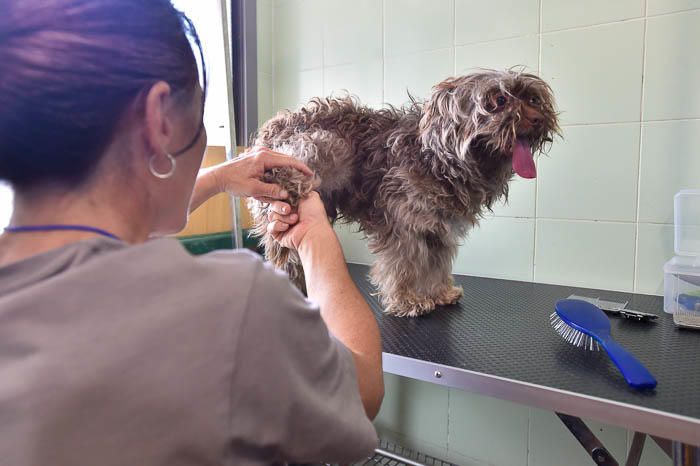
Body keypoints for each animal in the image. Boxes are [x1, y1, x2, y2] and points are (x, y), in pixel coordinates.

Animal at [249, 69, 560, 316]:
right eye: (499, 101)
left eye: (533, 99)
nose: (537, 119)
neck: (439, 159)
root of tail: (270, 129)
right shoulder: (403, 226)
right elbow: (403, 266)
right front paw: (407, 301)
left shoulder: (438, 230)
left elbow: (436, 265)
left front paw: (439, 294)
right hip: (319, 145)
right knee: (285, 251)